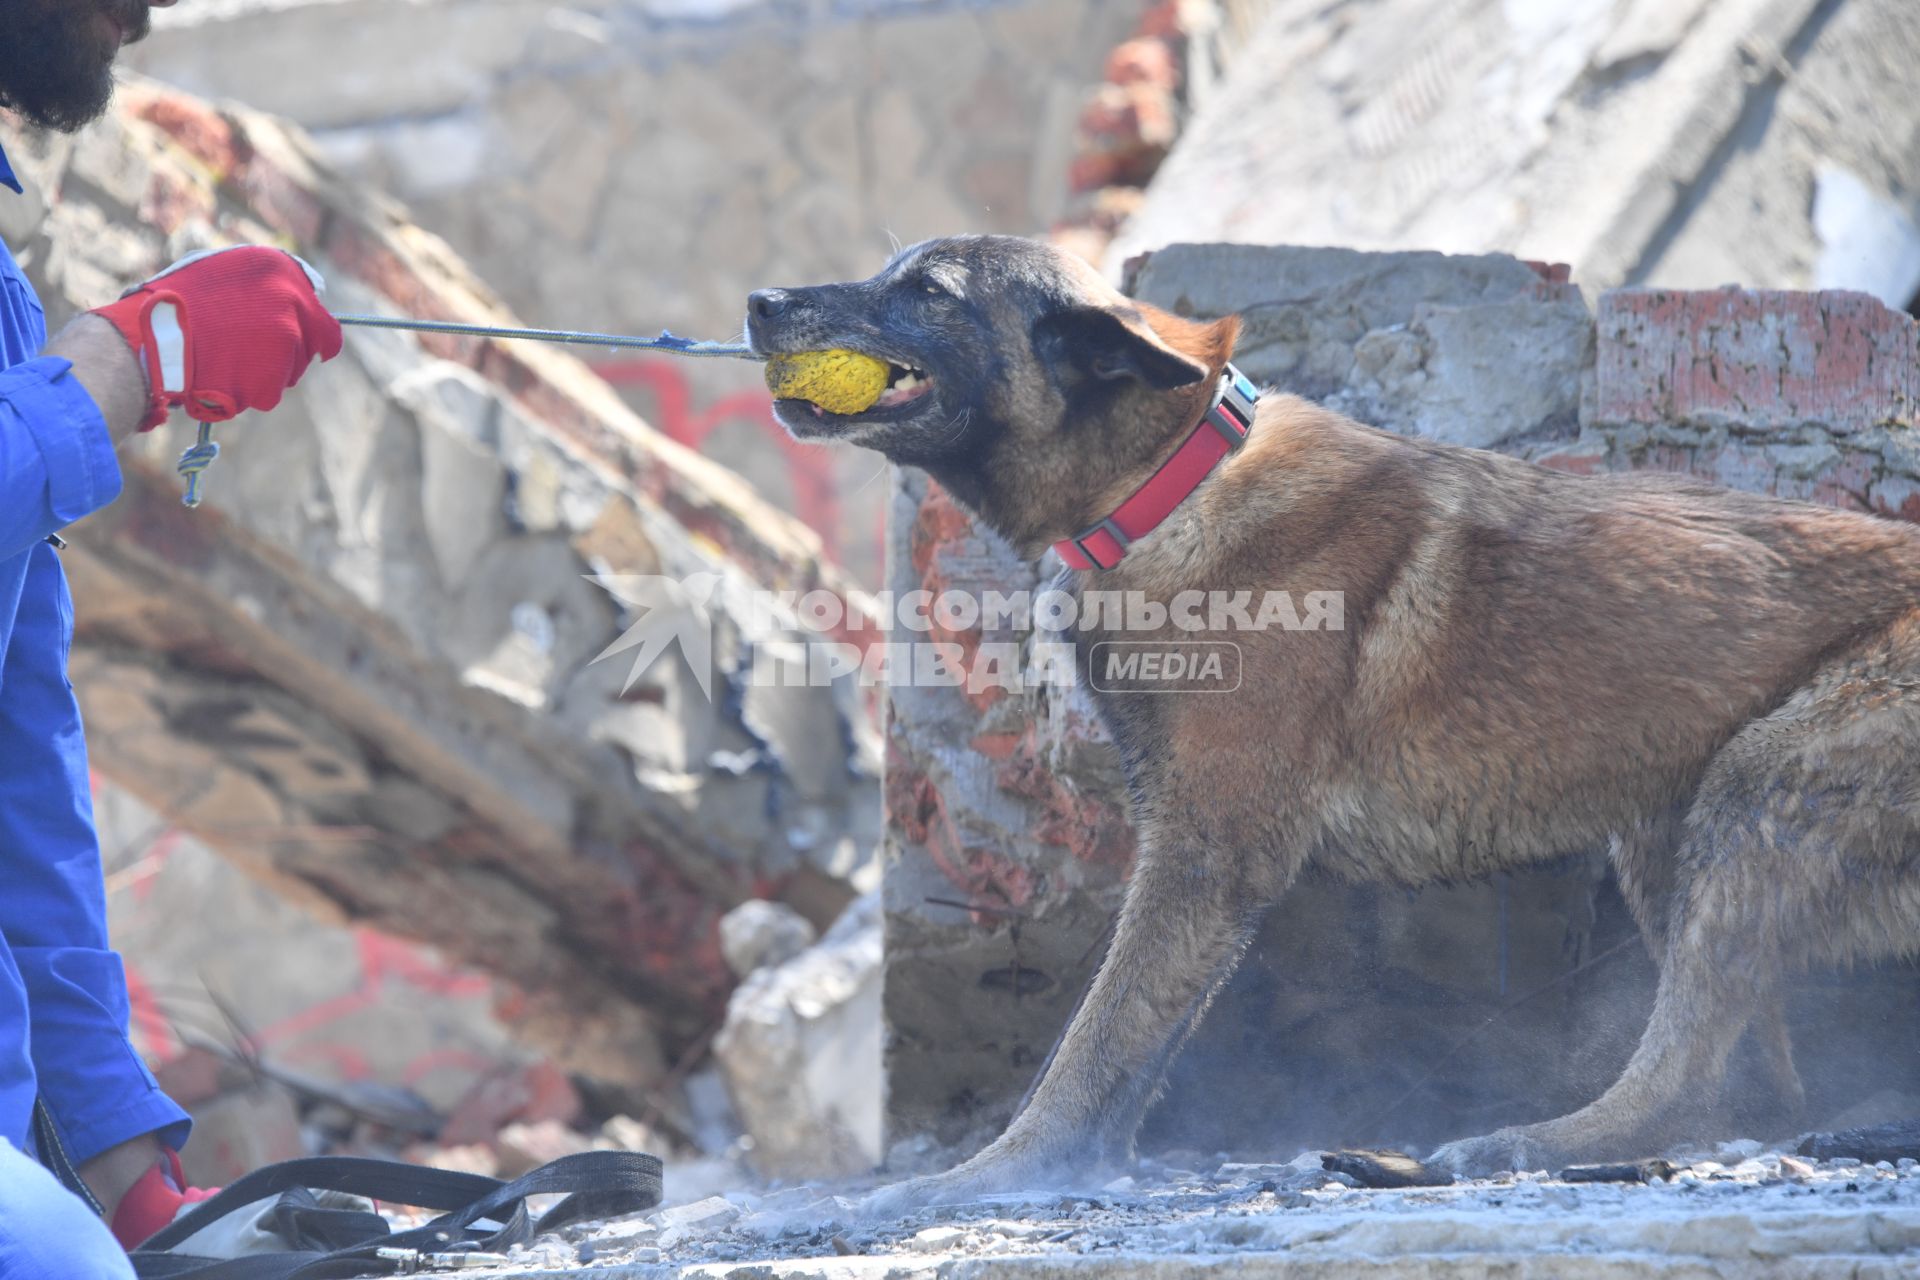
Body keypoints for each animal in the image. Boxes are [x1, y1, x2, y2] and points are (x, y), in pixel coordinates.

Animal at [741, 235, 1920, 1205]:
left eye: (927, 291)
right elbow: (1140, 1041)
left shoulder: (1208, 853)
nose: (758, 300)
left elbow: (1100, 1036)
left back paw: (1526, 1144)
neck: (1170, 482)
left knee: (1691, 1061)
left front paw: (999, 1173)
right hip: (1667, 819)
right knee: (1750, 1083)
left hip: (1758, 790)